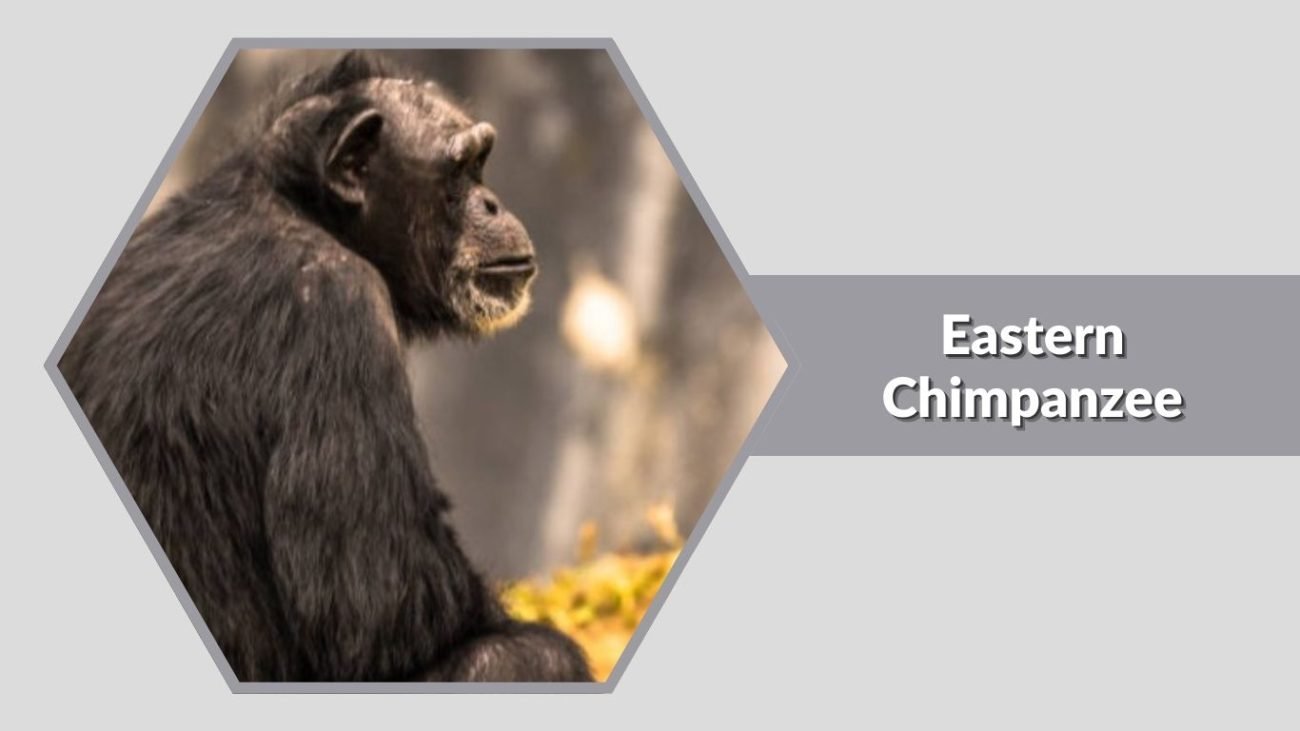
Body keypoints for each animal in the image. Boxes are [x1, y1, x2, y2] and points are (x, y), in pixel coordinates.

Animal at [59, 51, 592, 683]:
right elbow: (381, 607)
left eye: (481, 165)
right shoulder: (343, 312)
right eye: (461, 169)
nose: (493, 203)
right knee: (519, 661)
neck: (308, 213)